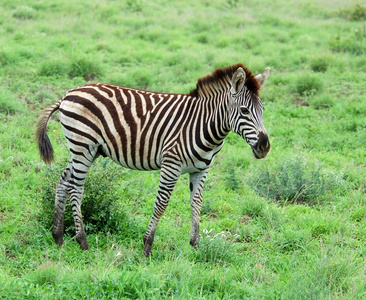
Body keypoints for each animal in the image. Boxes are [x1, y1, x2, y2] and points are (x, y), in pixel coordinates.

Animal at [36, 63, 268, 255]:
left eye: (263, 110)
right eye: (244, 110)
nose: (264, 146)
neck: (204, 124)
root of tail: (68, 93)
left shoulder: (201, 170)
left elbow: (197, 203)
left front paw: (195, 246)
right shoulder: (171, 165)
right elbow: (161, 203)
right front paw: (147, 246)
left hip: (86, 150)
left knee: (63, 181)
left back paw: (58, 236)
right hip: (82, 145)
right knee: (76, 188)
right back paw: (82, 241)